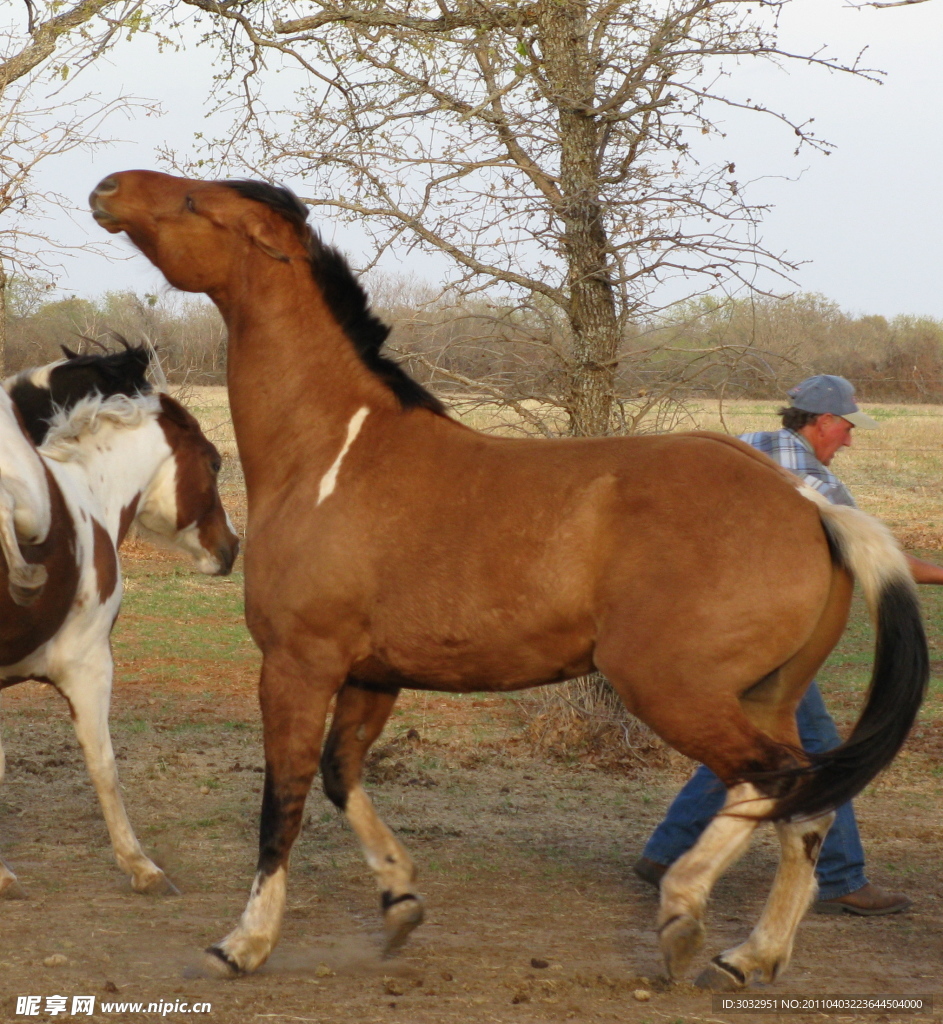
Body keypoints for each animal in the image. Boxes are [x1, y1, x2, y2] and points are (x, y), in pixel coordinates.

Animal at [0, 374, 239, 897]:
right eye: (213, 462)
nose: (233, 545)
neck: (88, 495)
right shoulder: (89, 667)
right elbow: (104, 765)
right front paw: (140, 864)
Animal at [88, 174, 925, 991]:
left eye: (195, 202)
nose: (108, 189)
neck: (332, 454)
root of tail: (806, 503)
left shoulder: (299, 663)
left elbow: (283, 799)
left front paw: (244, 943)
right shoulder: (371, 675)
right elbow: (339, 776)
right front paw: (399, 900)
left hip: (674, 689)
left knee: (773, 785)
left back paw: (683, 914)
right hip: (764, 695)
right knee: (809, 807)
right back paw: (749, 955)